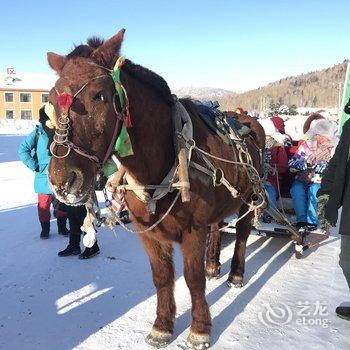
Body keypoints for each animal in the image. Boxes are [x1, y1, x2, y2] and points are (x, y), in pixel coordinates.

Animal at [47, 30, 264, 350]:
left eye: (99, 95)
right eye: (50, 100)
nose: (63, 179)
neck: (165, 157)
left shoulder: (192, 230)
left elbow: (192, 279)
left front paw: (200, 329)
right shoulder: (148, 233)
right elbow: (162, 277)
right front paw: (162, 326)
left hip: (249, 199)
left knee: (242, 234)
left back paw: (236, 273)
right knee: (217, 227)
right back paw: (213, 264)